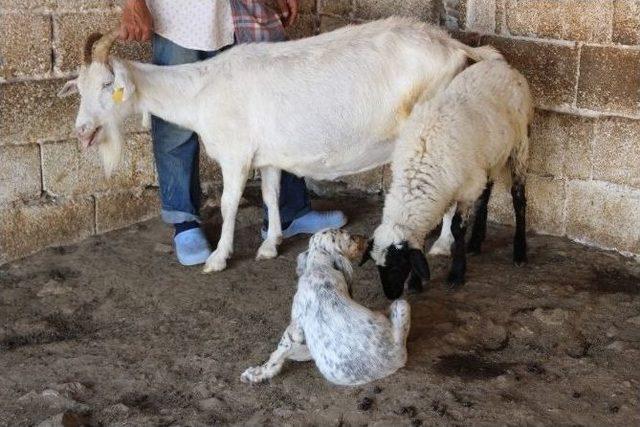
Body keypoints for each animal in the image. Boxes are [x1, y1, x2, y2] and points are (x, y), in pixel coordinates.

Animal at [57, 18, 500, 272]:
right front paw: (270, 245)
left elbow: (230, 204)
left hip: (434, 125)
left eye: (107, 85)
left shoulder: (236, 155)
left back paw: (442, 243)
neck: (202, 90)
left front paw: (218, 258)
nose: (81, 131)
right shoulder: (267, 154)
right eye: (78, 88)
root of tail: (455, 46)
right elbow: (270, 195)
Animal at [240, 231, 410, 388]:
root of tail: (393, 360)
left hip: (401, 303)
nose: (367, 239)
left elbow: (277, 354)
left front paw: (258, 372)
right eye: (350, 237)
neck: (320, 266)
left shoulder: (295, 328)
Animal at [362, 56, 532, 300]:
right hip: (490, 157)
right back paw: (476, 242)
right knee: (487, 192)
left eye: (397, 265)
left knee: (518, 198)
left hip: (520, 144)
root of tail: (504, 65)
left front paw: (456, 275)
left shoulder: (467, 190)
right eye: (378, 266)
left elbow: (456, 229)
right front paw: (416, 283)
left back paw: (519, 253)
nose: (391, 296)